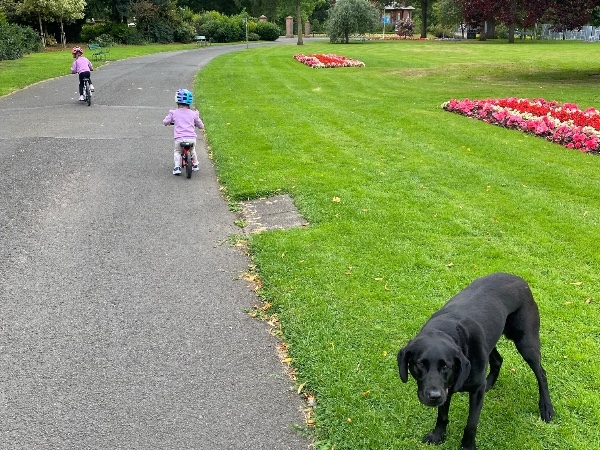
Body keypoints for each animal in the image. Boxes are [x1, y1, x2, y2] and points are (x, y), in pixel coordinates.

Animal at [397, 272, 554, 450]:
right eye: (420, 364)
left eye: (446, 366)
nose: (434, 396)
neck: (446, 330)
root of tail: (519, 278)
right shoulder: (446, 389)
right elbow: (442, 414)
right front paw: (438, 435)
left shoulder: (475, 391)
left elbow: (471, 424)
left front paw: (467, 446)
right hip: (489, 343)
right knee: (498, 360)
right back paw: (490, 383)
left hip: (526, 344)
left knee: (541, 373)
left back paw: (546, 407)